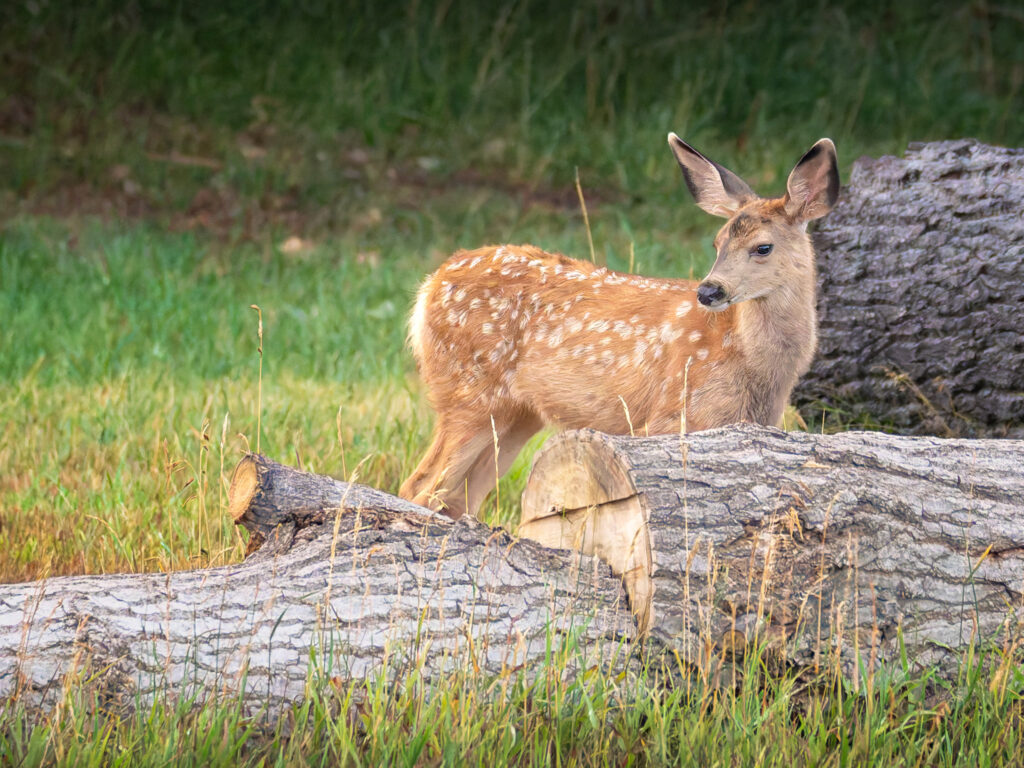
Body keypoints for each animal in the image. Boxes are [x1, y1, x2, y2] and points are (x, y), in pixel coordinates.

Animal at [400, 134, 839, 520]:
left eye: (763, 247)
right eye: (717, 243)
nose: (709, 290)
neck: (752, 364)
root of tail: (428, 286)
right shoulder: (667, 417)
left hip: (517, 414)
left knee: (455, 498)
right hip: (469, 390)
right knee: (419, 486)